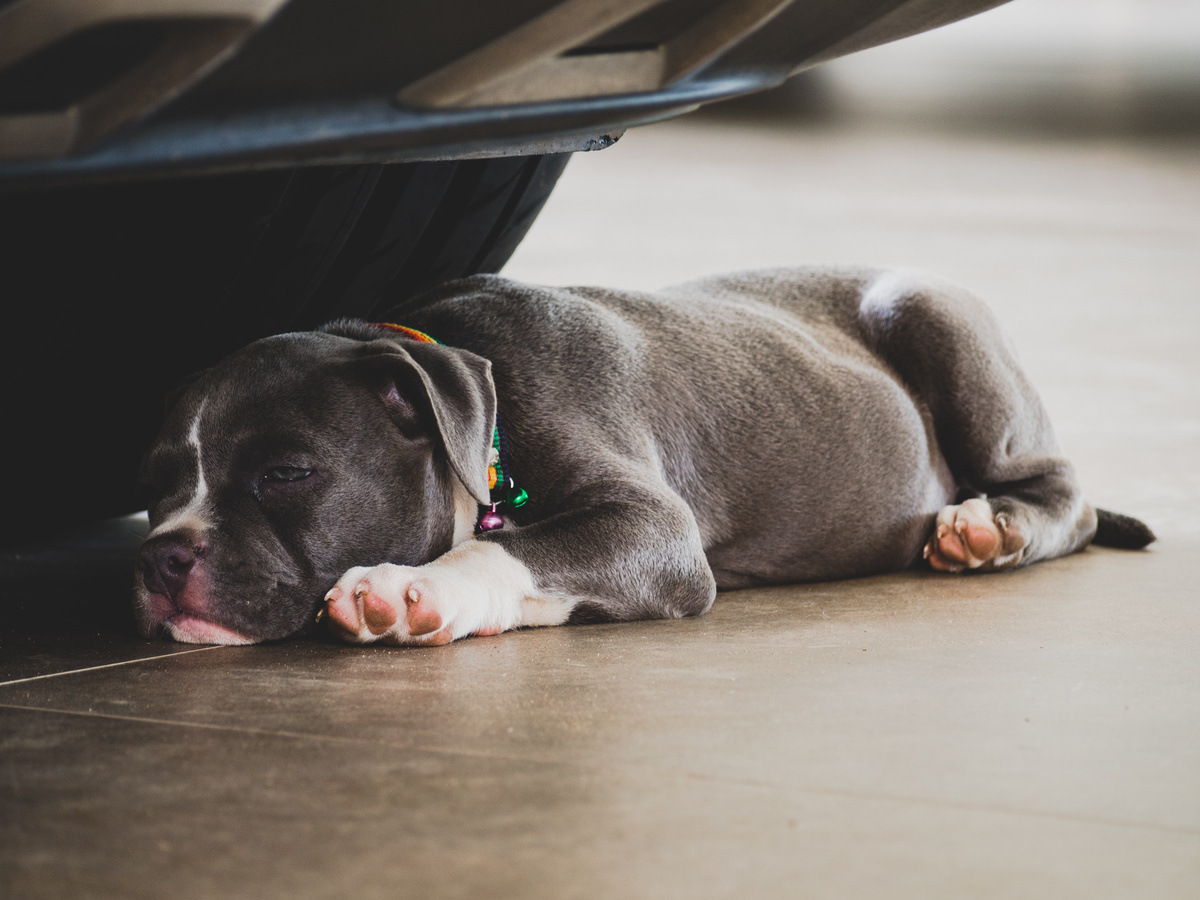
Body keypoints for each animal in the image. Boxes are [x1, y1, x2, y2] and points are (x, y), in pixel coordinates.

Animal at [136, 267, 1156, 648]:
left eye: (287, 474)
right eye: (156, 483)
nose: (160, 557)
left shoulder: (654, 528)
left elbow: (508, 547)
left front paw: (412, 586)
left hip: (932, 313)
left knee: (1065, 493)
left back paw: (988, 528)